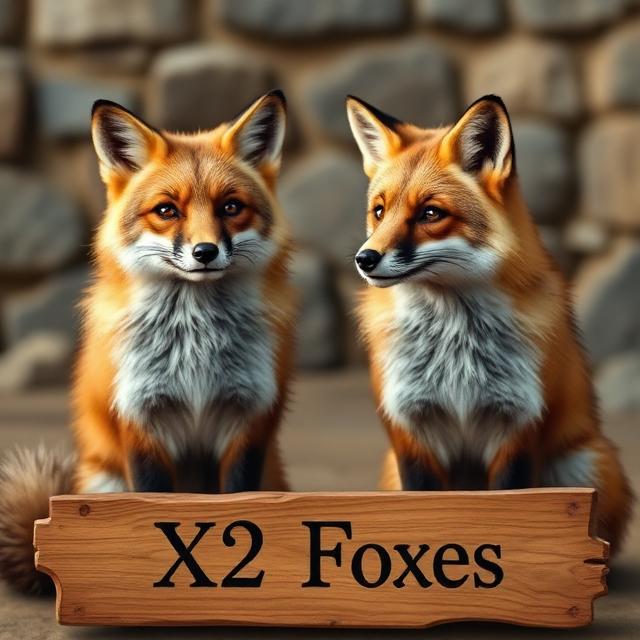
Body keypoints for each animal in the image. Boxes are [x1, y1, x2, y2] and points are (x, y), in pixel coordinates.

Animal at [0, 90, 294, 593]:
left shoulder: (249, 420)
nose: (205, 252)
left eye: (230, 207)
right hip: (105, 480)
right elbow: (153, 505)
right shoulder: (141, 418)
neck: (196, 345)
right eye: (166, 210)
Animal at [346, 94, 633, 552]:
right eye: (379, 211)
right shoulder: (410, 430)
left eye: (430, 213)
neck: (455, 347)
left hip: (585, 462)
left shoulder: (518, 425)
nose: (364, 259)